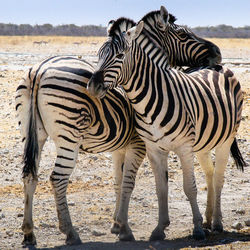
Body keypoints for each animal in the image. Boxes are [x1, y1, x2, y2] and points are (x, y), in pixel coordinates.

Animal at [15, 8, 223, 246]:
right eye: (182, 34)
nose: (217, 53)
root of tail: (38, 71)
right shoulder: (139, 145)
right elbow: (128, 183)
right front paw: (124, 229)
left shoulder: (119, 147)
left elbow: (117, 181)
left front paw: (116, 224)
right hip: (69, 136)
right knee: (57, 178)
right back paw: (70, 232)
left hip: (32, 134)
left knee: (29, 176)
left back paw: (29, 232)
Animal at [87, 6, 246, 240]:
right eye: (98, 55)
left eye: (120, 55)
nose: (93, 86)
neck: (147, 98)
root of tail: (221, 68)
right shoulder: (154, 149)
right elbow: (160, 189)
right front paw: (160, 228)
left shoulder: (183, 147)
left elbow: (189, 187)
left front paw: (197, 229)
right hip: (203, 142)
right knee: (209, 172)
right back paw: (208, 219)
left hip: (226, 139)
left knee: (218, 177)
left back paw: (216, 223)